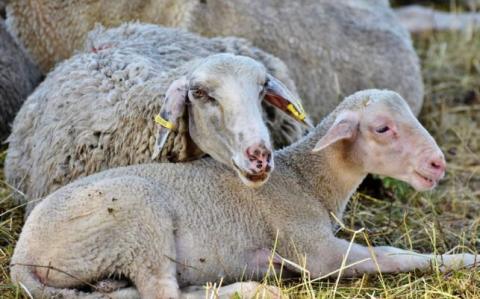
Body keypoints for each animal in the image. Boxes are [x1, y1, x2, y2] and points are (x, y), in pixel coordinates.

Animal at [11, 89, 476, 299]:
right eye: (382, 128)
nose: (438, 165)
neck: (305, 179)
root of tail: (21, 255)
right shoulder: (313, 251)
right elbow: (390, 255)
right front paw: (463, 259)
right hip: (136, 220)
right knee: (163, 292)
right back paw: (252, 289)